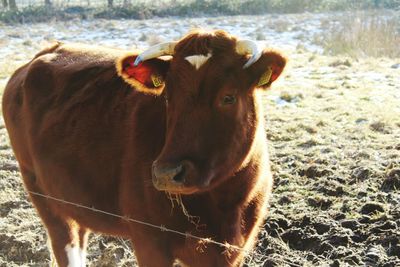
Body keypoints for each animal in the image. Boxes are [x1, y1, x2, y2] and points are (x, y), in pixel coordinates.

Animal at [1, 30, 286, 266]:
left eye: (229, 96)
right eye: (168, 97)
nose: (167, 173)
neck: (222, 204)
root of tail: (44, 52)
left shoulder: (233, 249)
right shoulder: (150, 240)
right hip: (41, 193)